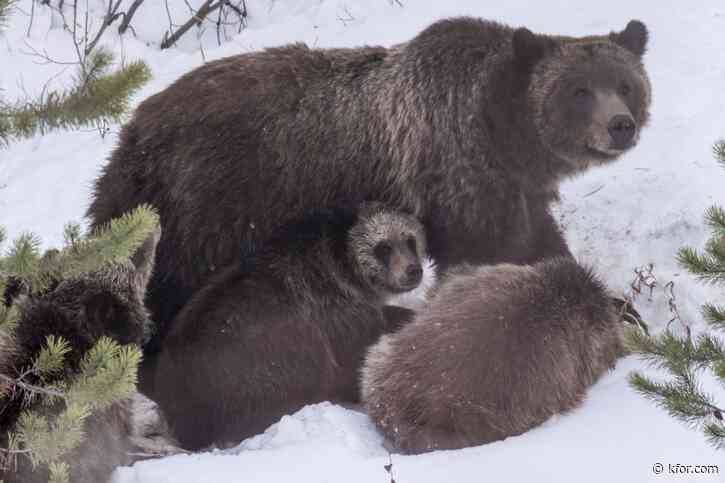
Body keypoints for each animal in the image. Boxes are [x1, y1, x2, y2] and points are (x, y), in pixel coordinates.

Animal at [86, 18, 652, 356]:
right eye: (579, 91)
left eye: (625, 84)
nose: (620, 126)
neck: (504, 135)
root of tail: (133, 130)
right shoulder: (458, 175)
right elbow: (490, 255)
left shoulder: (514, 190)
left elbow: (539, 244)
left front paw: (622, 307)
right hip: (211, 204)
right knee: (171, 286)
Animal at [151, 204, 424, 450]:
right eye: (383, 247)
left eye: (410, 241)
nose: (413, 270)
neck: (348, 271)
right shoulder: (336, 314)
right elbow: (357, 356)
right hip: (260, 365)